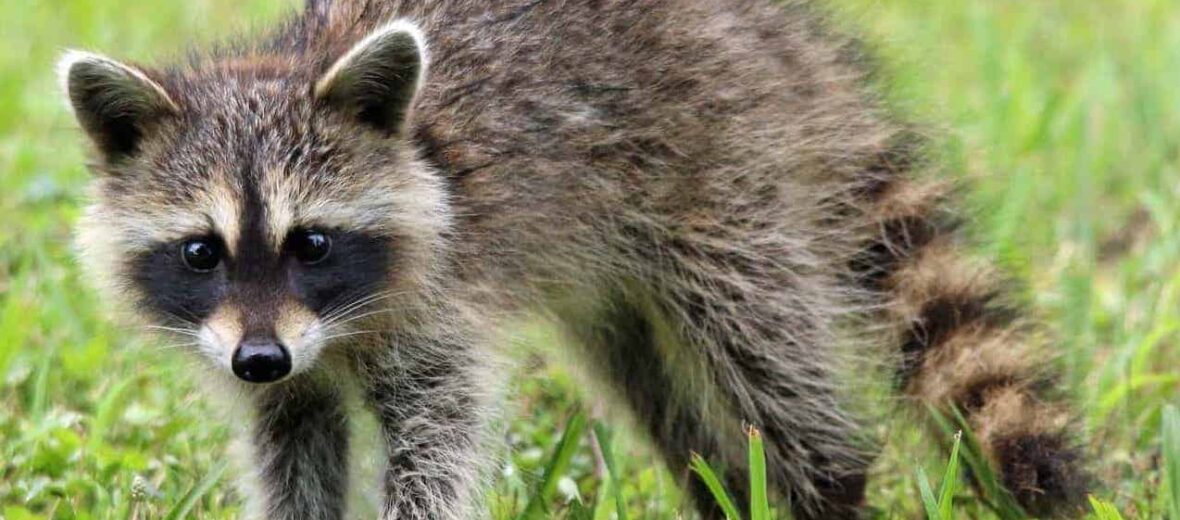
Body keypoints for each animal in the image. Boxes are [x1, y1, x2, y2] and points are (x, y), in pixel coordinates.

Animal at [55, 1, 1085, 518]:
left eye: (311, 243)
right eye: (201, 252)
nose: (260, 358)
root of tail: (775, 32)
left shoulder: (441, 311)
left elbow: (437, 446)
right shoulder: (270, 364)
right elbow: (292, 445)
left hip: (720, 171)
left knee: (760, 343)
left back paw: (824, 483)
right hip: (616, 266)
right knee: (653, 383)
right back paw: (721, 487)